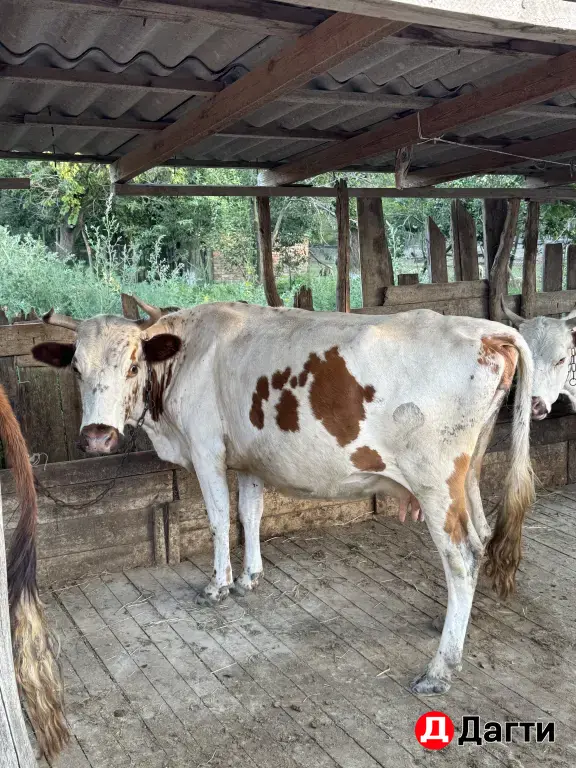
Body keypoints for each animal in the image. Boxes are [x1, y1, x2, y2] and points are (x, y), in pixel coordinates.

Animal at [32, 298, 534, 695]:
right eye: (76, 369)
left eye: (133, 366)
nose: (97, 437)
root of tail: (487, 329)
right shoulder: (250, 459)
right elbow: (249, 514)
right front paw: (249, 577)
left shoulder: (206, 449)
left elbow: (219, 517)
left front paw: (217, 584)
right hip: (468, 473)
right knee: (483, 535)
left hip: (435, 483)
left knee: (462, 557)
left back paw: (440, 668)